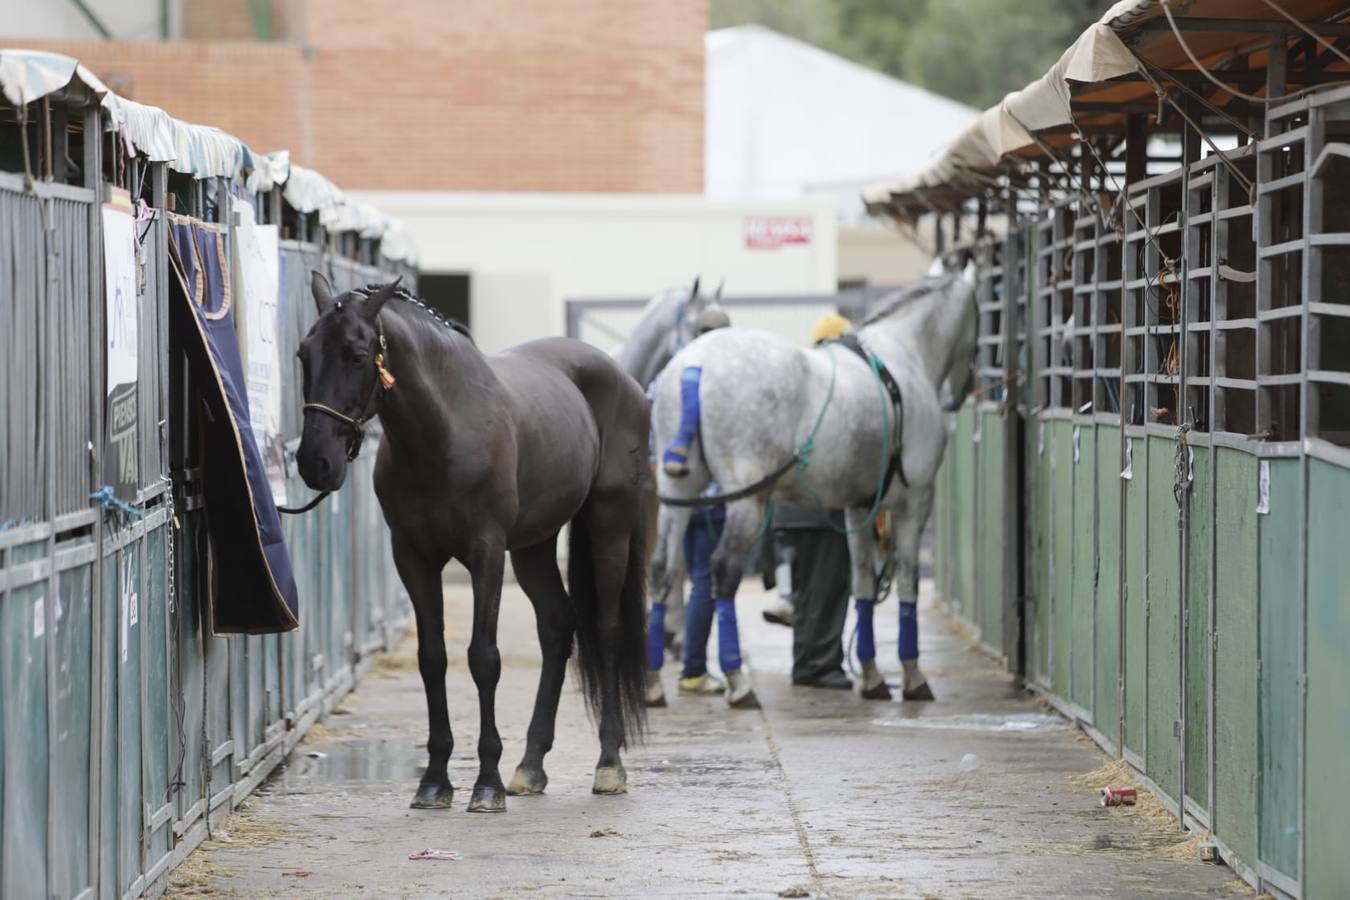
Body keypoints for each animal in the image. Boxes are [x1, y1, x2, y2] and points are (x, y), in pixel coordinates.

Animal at [294, 274, 651, 811]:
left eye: (357, 355)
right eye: (303, 353)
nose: (314, 462)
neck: (445, 432)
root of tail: (621, 377)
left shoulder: (486, 552)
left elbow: (484, 658)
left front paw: (487, 784)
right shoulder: (413, 556)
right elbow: (433, 658)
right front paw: (434, 782)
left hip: (609, 526)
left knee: (605, 630)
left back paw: (608, 765)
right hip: (534, 547)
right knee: (557, 626)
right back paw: (530, 766)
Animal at [648, 270, 976, 709]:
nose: (961, 391)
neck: (903, 354)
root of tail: (693, 367)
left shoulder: (859, 507)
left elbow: (863, 583)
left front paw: (872, 677)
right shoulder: (916, 500)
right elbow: (908, 581)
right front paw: (912, 677)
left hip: (679, 496)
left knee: (662, 570)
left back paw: (652, 683)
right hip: (746, 501)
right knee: (724, 572)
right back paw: (738, 681)